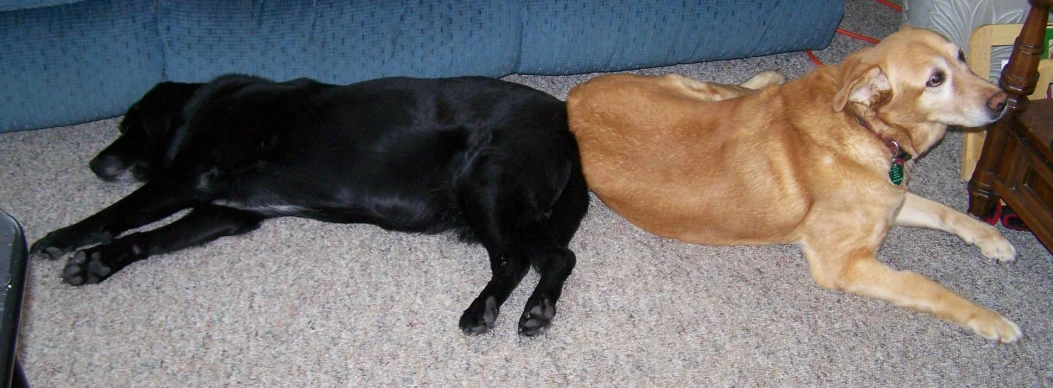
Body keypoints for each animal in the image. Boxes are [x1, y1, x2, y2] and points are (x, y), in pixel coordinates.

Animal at [30, 74, 593, 335]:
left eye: (129, 126)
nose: (94, 164)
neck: (205, 108)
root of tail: (566, 127)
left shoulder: (184, 179)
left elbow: (116, 215)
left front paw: (61, 240)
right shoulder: (226, 212)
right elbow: (148, 239)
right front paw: (99, 263)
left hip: (488, 187)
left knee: (534, 258)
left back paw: (497, 309)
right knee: (532, 258)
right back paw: (520, 308)